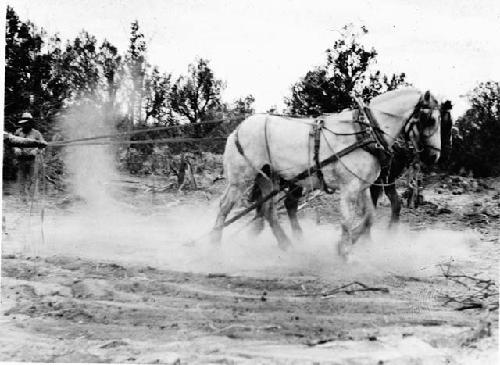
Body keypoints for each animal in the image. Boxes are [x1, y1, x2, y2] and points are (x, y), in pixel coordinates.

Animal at [211, 87, 442, 258]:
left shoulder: (363, 186)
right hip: (241, 179)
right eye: (431, 120)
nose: (434, 156)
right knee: (224, 206)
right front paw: (345, 251)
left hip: (268, 177)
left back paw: (286, 244)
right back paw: (215, 243)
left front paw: (350, 241)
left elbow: (369, 217)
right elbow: (347, 219)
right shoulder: (350, 187)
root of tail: (238, 129)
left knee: (268, 209)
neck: (365, 132)